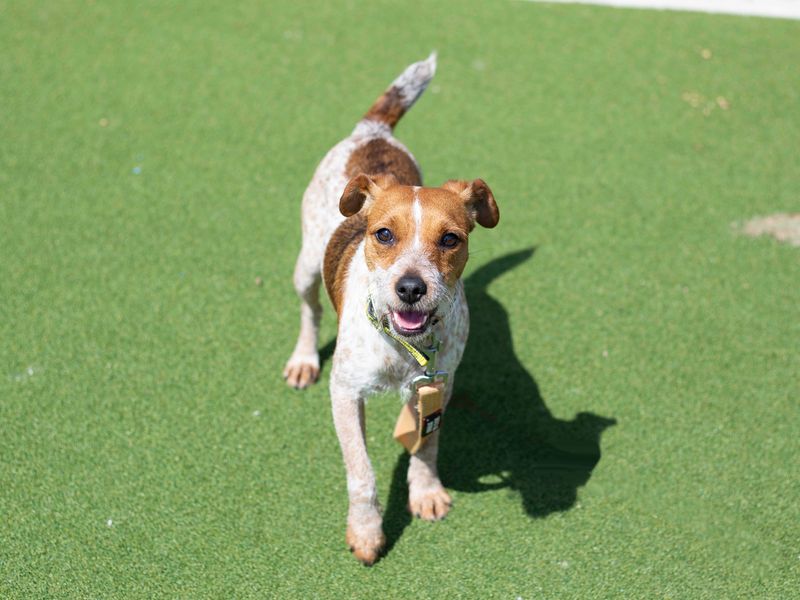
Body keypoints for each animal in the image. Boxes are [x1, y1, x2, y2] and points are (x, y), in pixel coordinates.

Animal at [284, 54, 496, 564]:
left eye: (450, 239)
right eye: (383, 234)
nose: (411, 288)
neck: (405, 348)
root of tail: (374, 130)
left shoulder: (439, 386)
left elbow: (427, 445)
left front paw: (426, 493)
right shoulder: (344, 393)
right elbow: (362, 472)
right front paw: (366, 531)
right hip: (305, 268)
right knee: (309, 312)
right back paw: (302, 360)